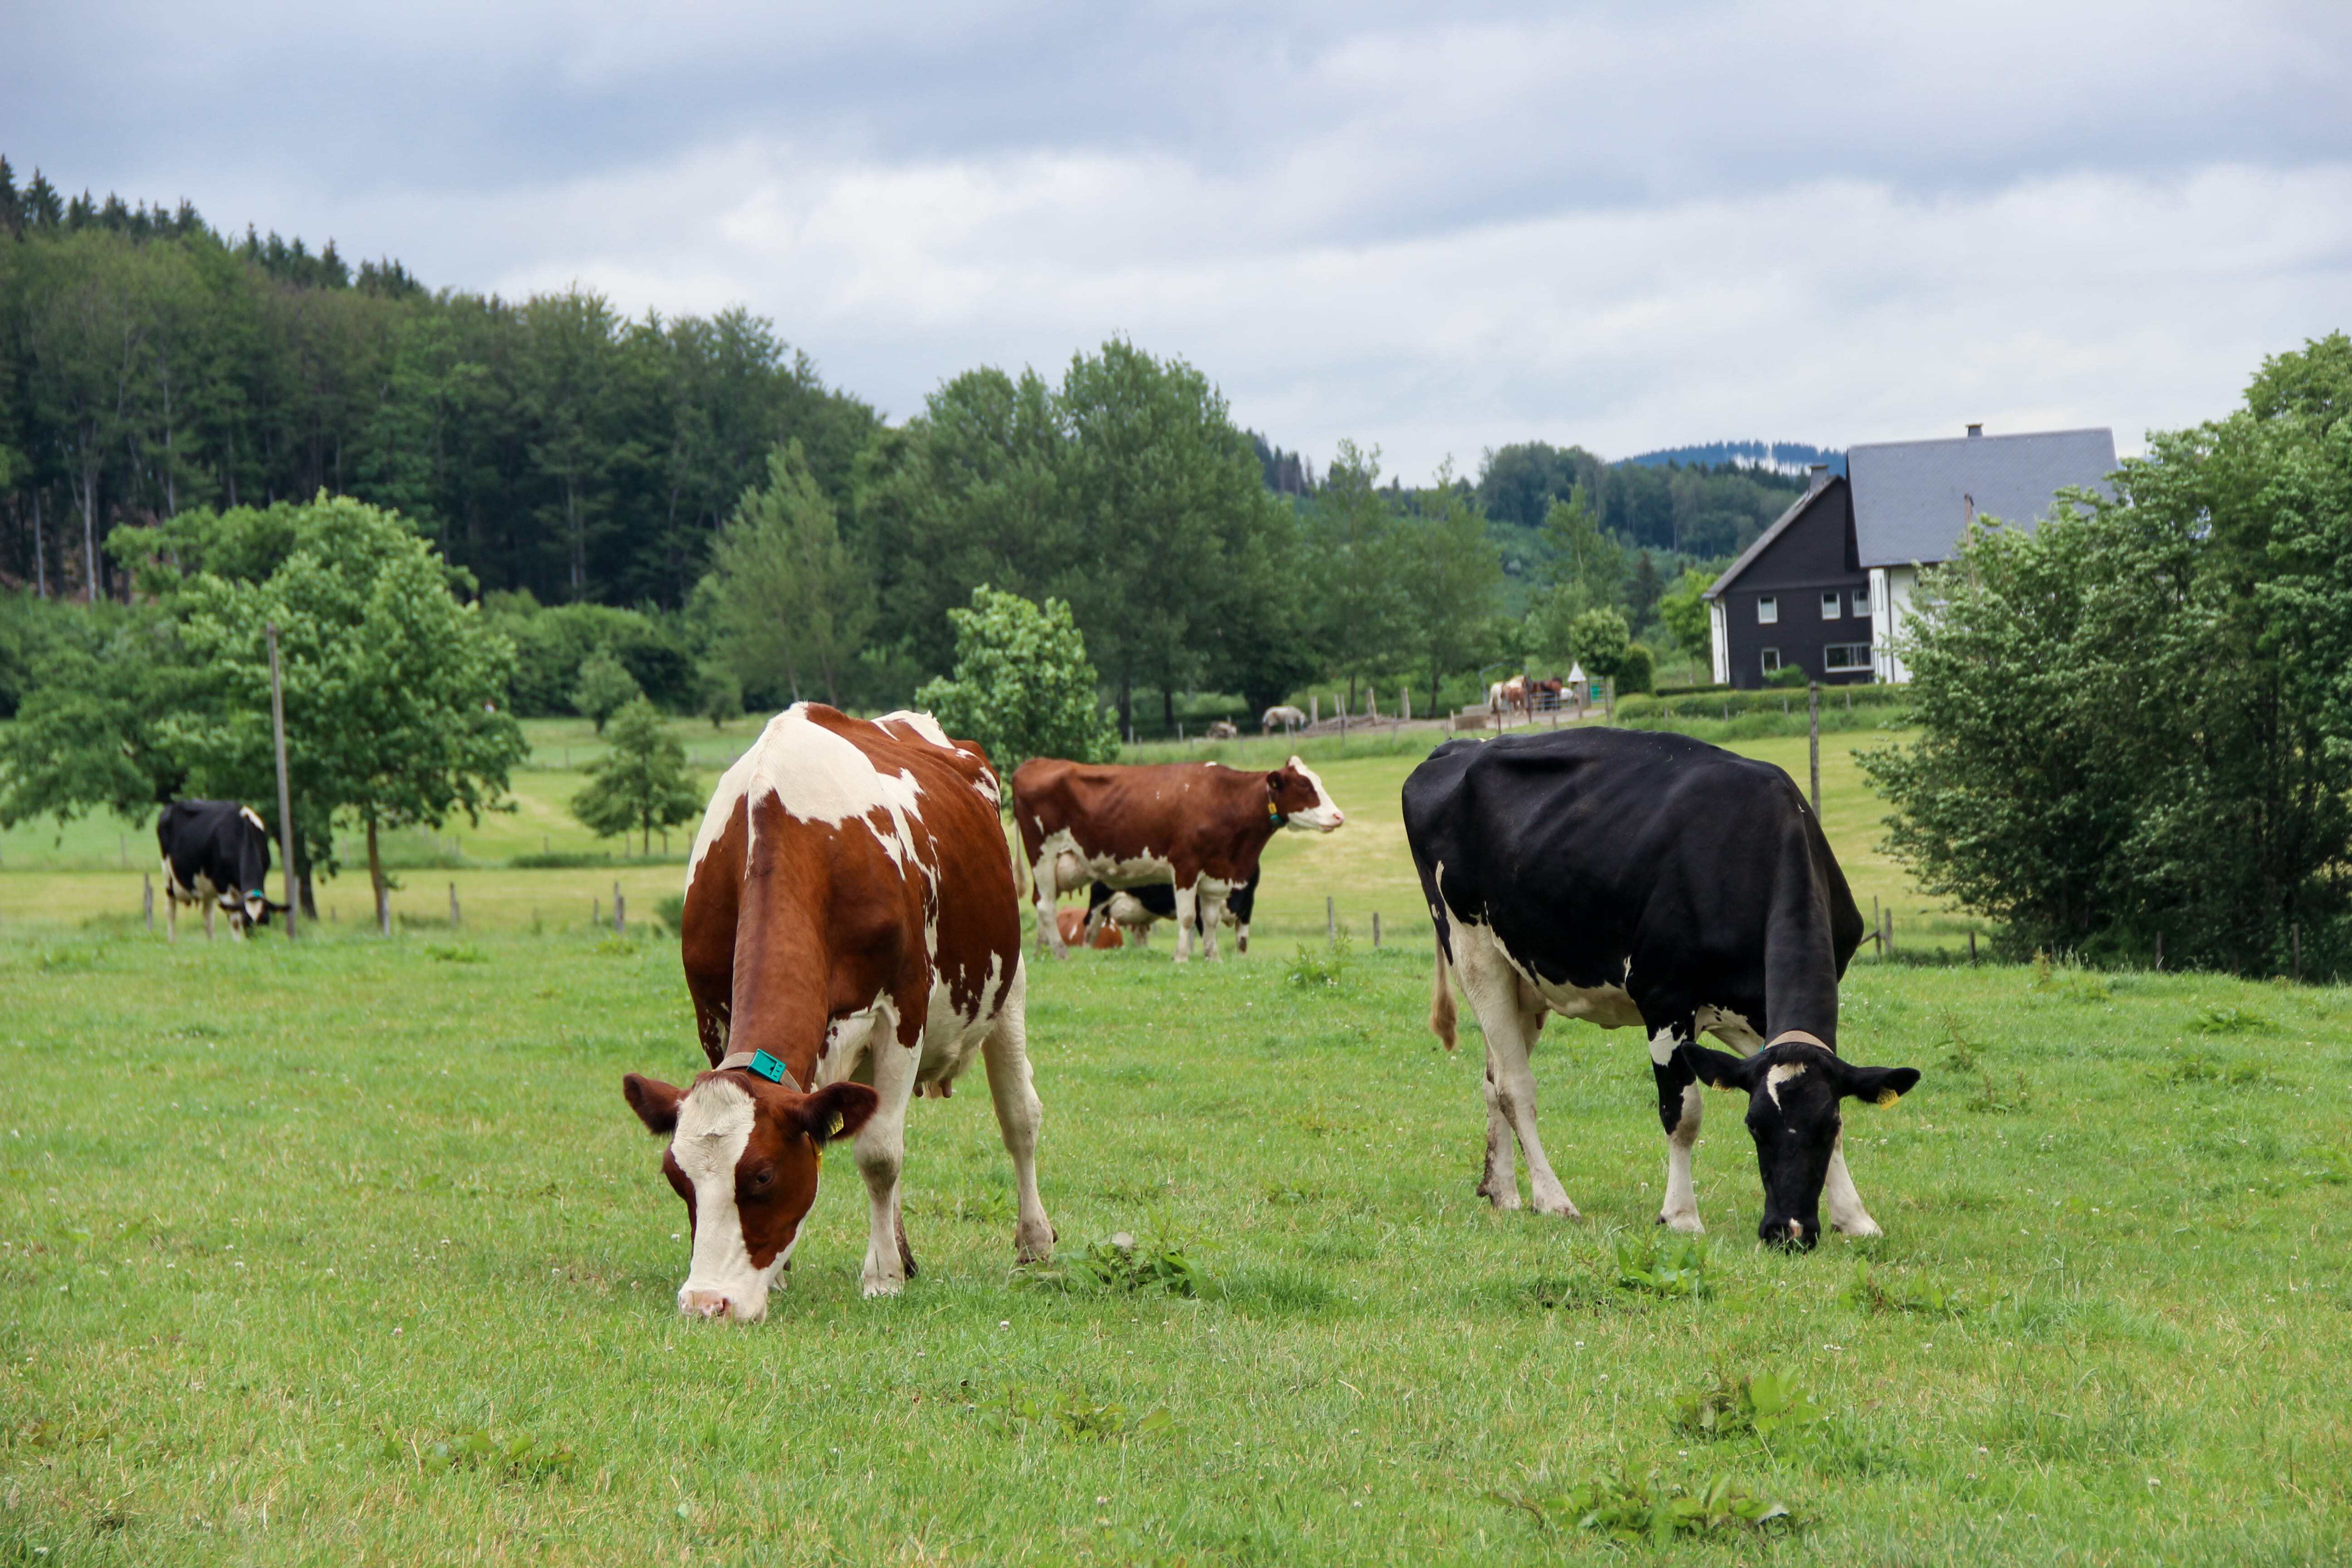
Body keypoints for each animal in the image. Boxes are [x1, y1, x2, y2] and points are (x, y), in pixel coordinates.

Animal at [157, 804, 285, 940]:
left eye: (266, 921)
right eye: (247, 922)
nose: (258, 942)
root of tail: (172, 807)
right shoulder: (222, 884)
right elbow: (235, 920)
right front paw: (238, 943)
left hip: (205, 886)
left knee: (208, 917)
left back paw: (212, 942)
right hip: (168, 878)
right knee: (171, 912)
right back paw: (172, 941)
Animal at [621, 705, 1054, 1316]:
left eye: (762, 1176)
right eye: (676, 1178)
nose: (706, 1302)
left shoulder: (901, 1015)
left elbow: (879, 1154)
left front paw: (881, 1278)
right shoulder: (712, 1015)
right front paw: (786, 1275)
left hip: (1007, 987)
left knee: (1019, 1117)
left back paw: (1035, 1242)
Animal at [1011, 757, 1345, 964]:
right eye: (1304, 786)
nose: (1339, 816)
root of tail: (1035, 763)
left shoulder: (1216, 873)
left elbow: (1209, 921)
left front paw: (1213, 957)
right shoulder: (1186, 865)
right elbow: (1187, 917)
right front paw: (1182, 957)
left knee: (1054, 911)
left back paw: (1051, 952)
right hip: (1042, 854)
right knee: (1047, 906)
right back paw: (1061, 954)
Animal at [1401, 729, 1919, 1260]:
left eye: (1826, 1127)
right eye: (1753, 1126)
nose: (1788, 1232)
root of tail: (1459, 745)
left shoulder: (1756, 1020)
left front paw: (1854, 1217)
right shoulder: (1665, 1000)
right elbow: (1683, 1114)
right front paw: (1681, 1216)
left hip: (1524, 978)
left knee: (1492, 1078)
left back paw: (1502, 1191)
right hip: (1474, 952)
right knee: (1514, 1086)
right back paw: (1553, 1200)